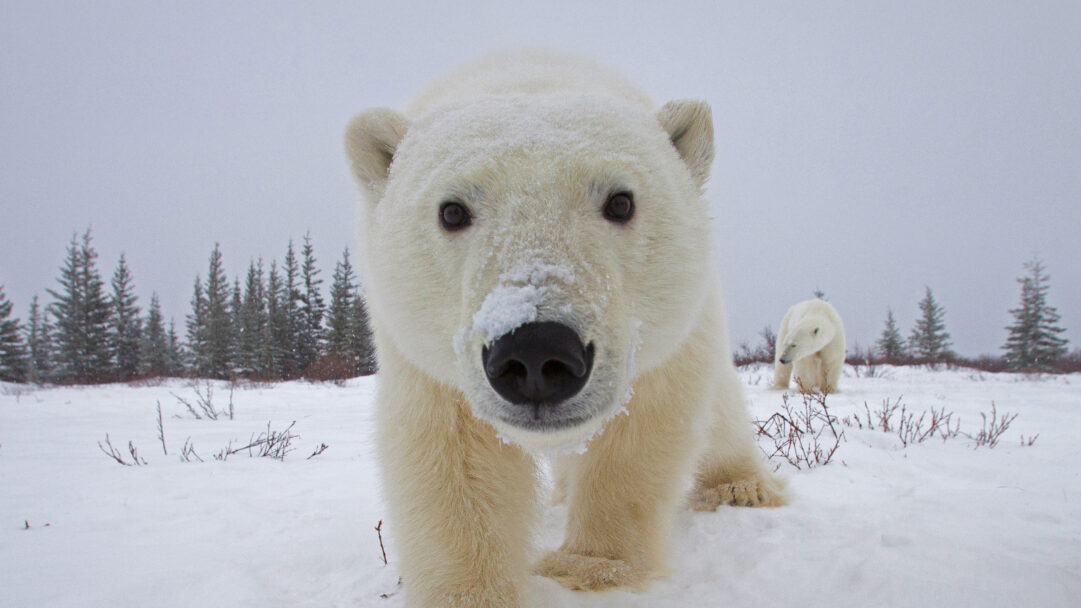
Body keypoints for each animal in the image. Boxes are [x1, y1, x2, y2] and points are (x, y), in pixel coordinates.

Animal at [344, 50, 786, 607]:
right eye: (452, 210)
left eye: (621, 201)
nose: (536, 352)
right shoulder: (423, 354)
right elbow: (452, 457)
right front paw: (471, 592)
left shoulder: (663, 339)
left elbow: (640, 432)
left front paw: (589, 568)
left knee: (722, 409)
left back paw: (741, 487)